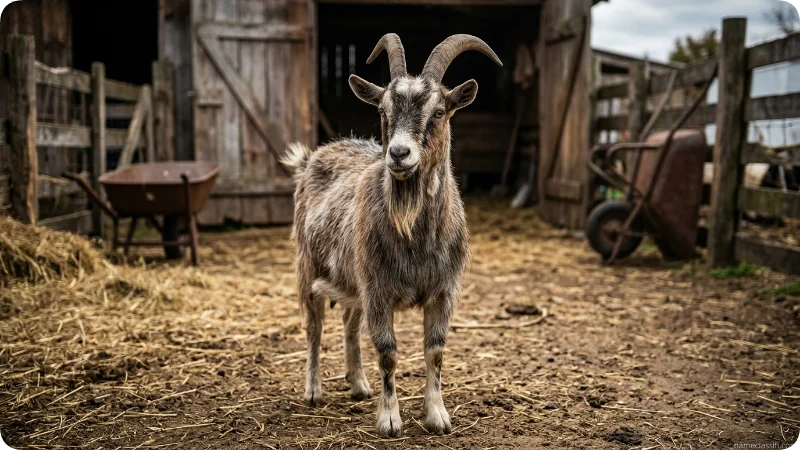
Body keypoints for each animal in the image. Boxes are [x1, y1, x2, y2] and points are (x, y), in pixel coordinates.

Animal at [281, 33, 502, 438]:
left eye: (439, 111)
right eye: (383, 112)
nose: (399, 154)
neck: (416, 238)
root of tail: (310, 159)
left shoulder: (442, 291)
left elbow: (435, 351)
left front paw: (437, 416)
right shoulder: (379, 291)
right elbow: (387, 352)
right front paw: (389, 420)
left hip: (352, 281)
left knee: (350, 325)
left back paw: (358, 385)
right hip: (308, 268)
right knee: (313, 328)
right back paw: (314, 391)